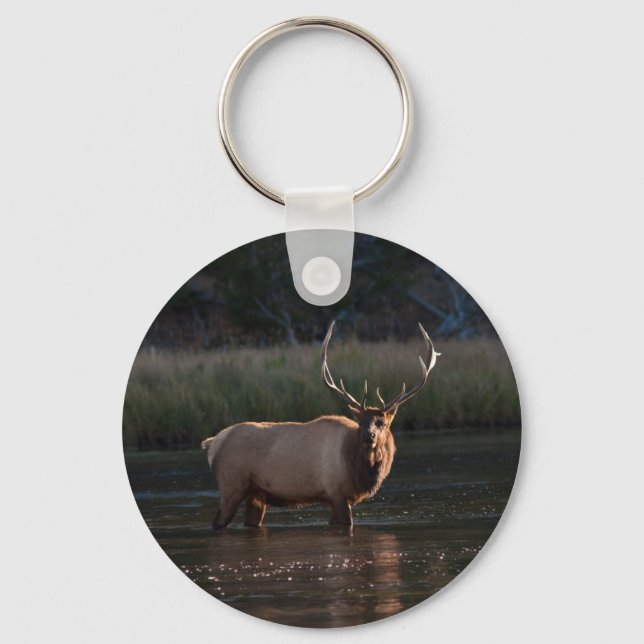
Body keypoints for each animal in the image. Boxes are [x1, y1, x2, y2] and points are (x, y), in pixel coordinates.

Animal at [201, 321, 439, 528]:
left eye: (381, 423)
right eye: (360, 422)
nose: (368, 436)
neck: (358, 469)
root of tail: (212, 442)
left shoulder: (338, 498)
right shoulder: (337, 492)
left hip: (256, 494)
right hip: (231, 485)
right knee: (217, 522)